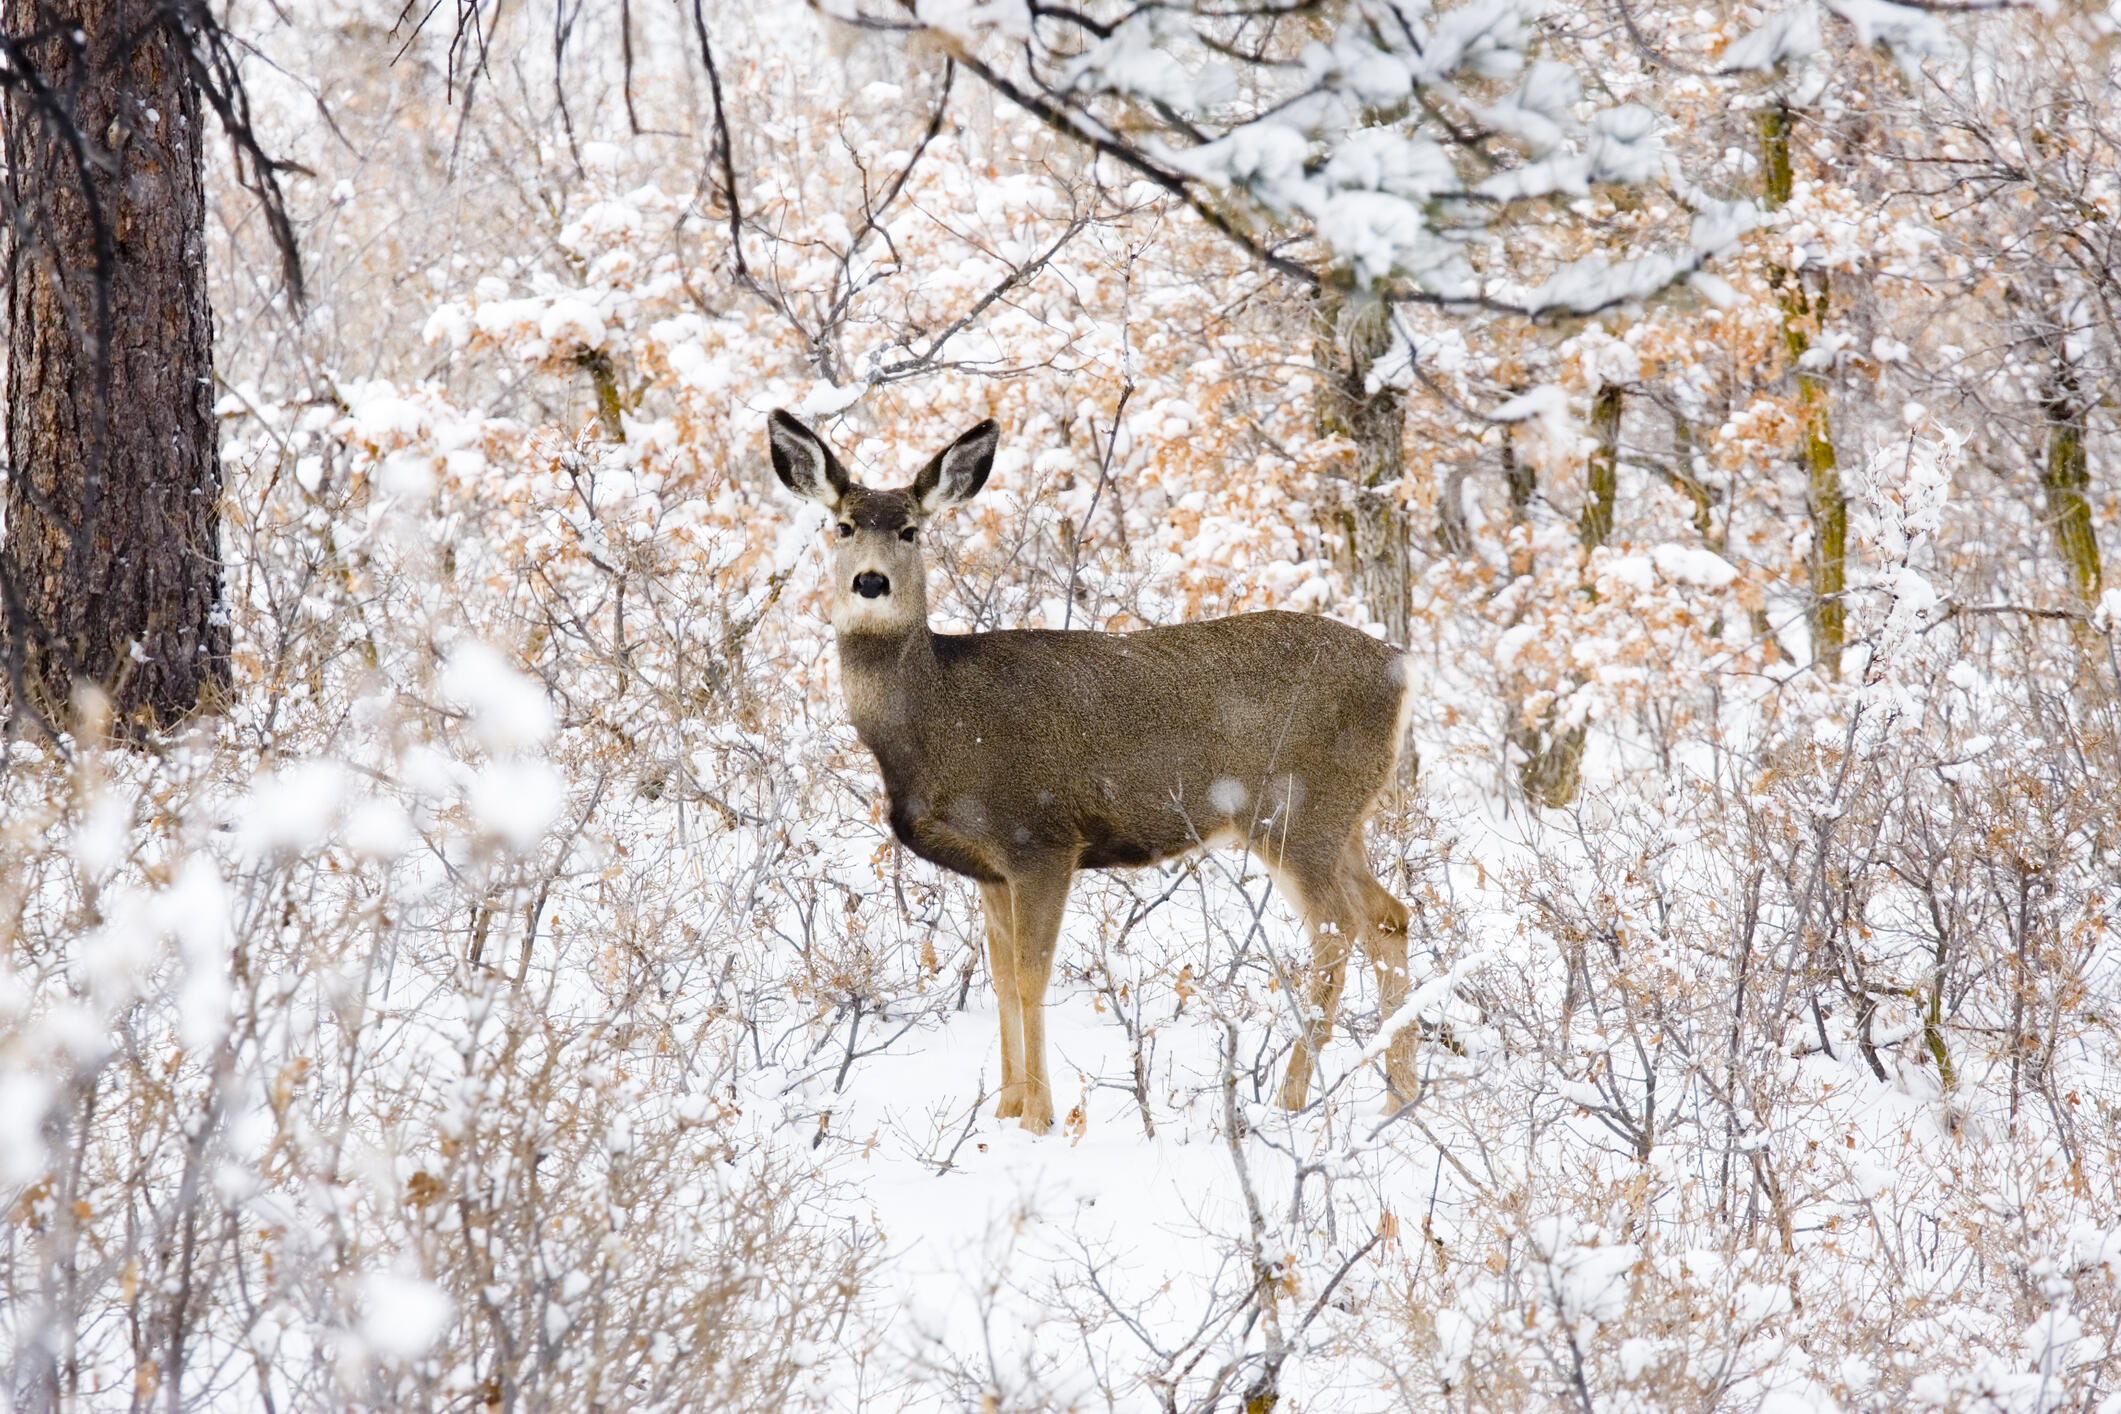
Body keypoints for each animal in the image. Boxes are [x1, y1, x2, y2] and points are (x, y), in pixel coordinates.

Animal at [767, 409, 1418, 1133]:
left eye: (910, 529)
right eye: (842, 525)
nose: (871, 582)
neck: (936, 720)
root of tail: (1399, 667)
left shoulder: (1041, 840)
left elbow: (1031, 978)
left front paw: (1039, 1118)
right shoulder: (989, 868)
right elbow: (999, 979)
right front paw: (1004, 1112)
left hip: (1295, 813)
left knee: (1337, 934)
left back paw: (1287, 1103)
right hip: (1343, 817)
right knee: (1390, 916)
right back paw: (1400, 1099)